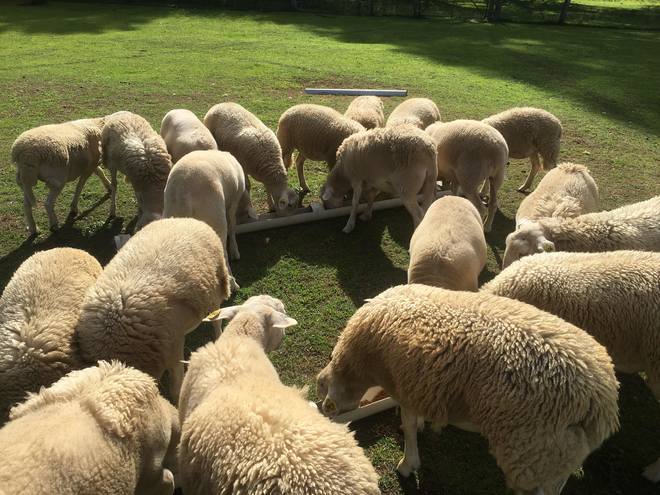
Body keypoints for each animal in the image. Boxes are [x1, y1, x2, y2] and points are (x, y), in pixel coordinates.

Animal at [163, 150, 246, 291]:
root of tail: (182, 194)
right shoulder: (234, 202)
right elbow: (232, 225)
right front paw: (235, 251)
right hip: (215, 217)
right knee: (222, 253)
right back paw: (232, 283)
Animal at [316, 284, 620, 495]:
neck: (362, 364)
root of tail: (602, 401)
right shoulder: (421, 385)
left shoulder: (407, 385)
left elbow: (409, 425)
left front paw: (407, 463)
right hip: (558, 453)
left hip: (532, 448)